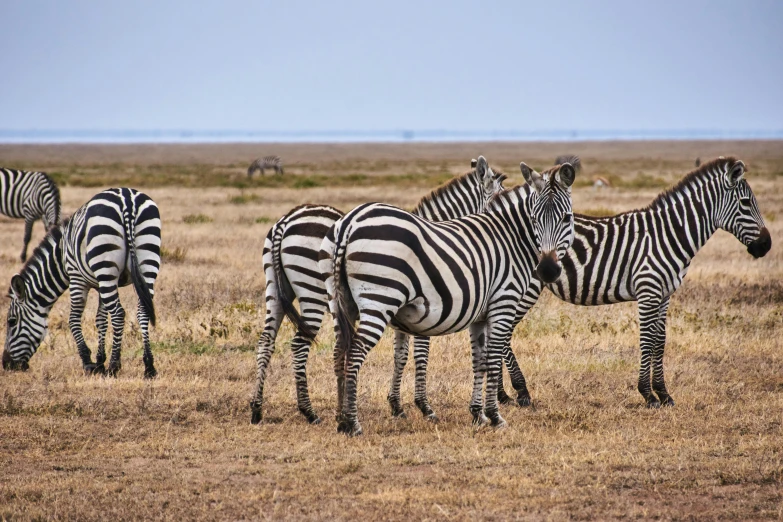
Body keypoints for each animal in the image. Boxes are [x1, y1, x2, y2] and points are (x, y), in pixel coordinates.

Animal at [253, 158, 508, 422]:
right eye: (500, 196)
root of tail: (285, 221)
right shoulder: (428, 306)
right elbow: (421, 354)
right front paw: (424, 406)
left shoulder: (404, 313)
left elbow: (400, 355)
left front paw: (396, 405)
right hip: (312, 291)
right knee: (299, 344)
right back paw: (309, 411)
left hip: (275, 289)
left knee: (266, 341)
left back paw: (257, 409)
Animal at [322, 155, 580, 434]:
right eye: (534, 218)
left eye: (566, 218)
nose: (547, 270)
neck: (509, 239)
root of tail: (350, 222)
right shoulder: (502, 303)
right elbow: (486, 359)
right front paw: (494, 416)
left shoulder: (477, 315)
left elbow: (477, 360)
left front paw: (477, 414)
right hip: (380, 301)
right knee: (355, 353)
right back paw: (352, 423)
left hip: (339, 301)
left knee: (340, 351)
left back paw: (340, 418)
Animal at [490, 154, 772, 406]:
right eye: (746, 202)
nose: (766, 245)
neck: (669, 234)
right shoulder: (648, 290)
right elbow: (646, 341)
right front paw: (648, 394)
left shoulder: (665, 293)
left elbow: (660, 341)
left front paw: (664, 393)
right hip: (523, 287)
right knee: (502, 334)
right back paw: (519, 392)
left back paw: (502, 395)